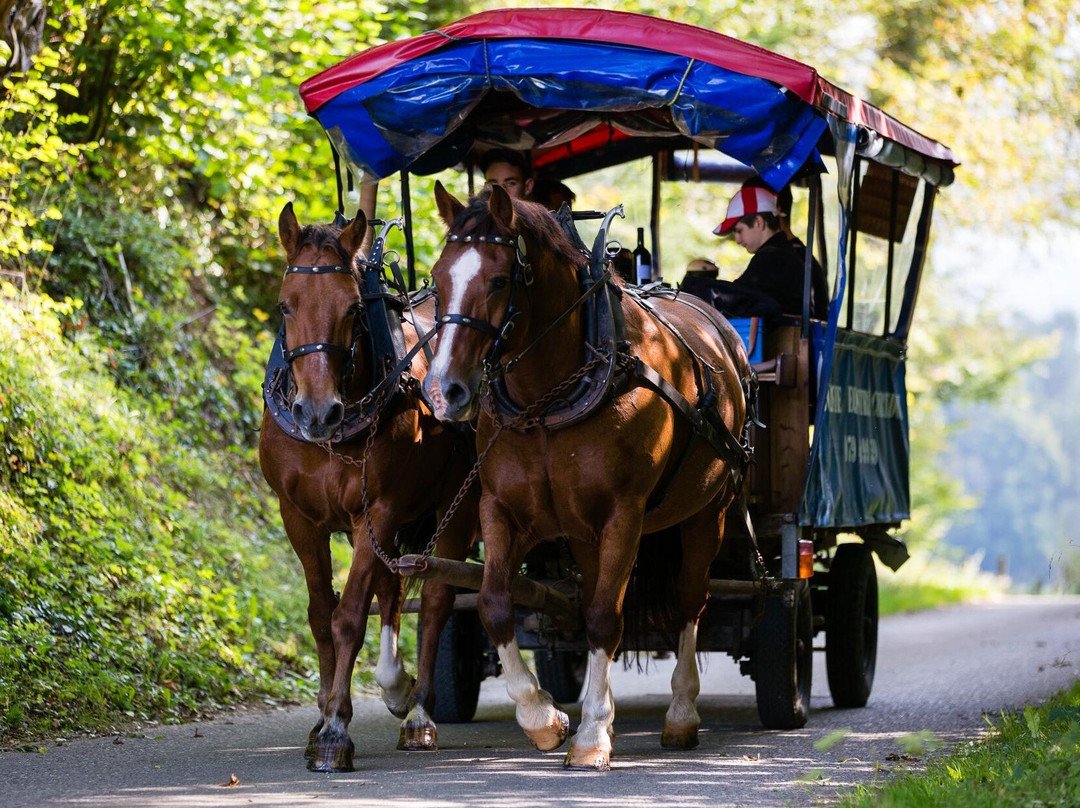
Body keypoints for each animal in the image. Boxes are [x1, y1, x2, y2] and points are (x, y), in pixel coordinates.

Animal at [259, 202, 475, 769]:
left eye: (354, 308)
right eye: (285, 306)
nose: (316, 412)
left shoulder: (376, 510)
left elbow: (349, 617)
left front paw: (336, 729)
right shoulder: (299, 517)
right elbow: (321, 614)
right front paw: (321, 715)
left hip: (458, 506)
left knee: (437, 598)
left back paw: (418, 712)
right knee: (394, 587)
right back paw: (397, 688)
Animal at [423, 182, 751, 769]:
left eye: (500, 280)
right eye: (438, 278)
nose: (445, 392)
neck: (549, 398)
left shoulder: (624, 514)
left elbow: (604, 616)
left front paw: (593, 733)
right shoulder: (503, 511)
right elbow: (495, 604)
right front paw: (544, 718)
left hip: (706, 512)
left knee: (690, 600)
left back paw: (681, 713)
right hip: (582, 532)